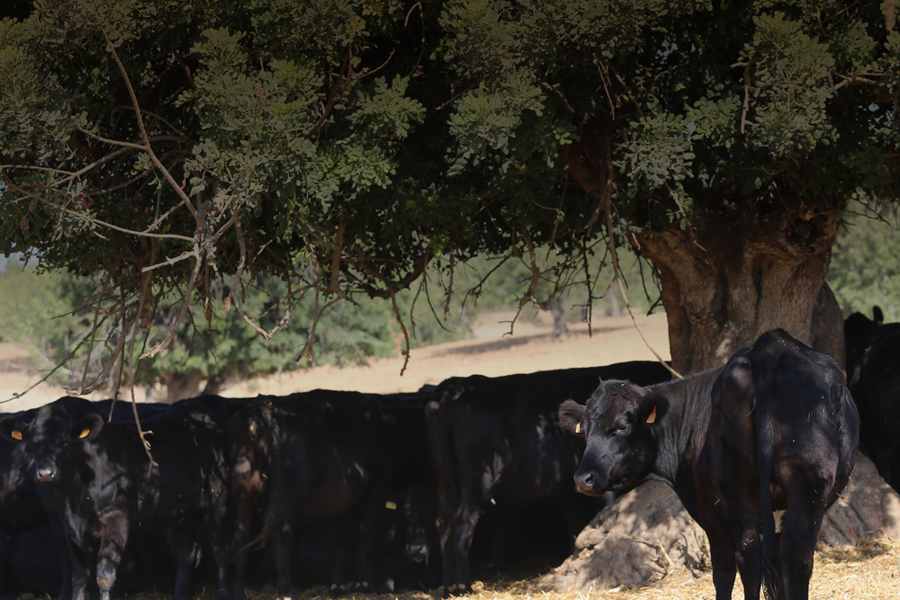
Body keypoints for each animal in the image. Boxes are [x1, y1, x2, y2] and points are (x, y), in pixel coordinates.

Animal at [2, 394, 232, 600]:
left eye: (64, 442)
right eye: (32, 443)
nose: (45, 473)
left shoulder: (116, 517)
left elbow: (105, 576)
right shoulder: (67, 524)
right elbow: (78, 576)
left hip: (217, 504)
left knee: (220, 551)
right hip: (177, 514)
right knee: (187, 554)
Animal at [225, 390, 436, 600]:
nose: (418, 551)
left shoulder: (345, 500)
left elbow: (342, 539)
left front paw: (340, 586)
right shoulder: (372, 492)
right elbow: (363, 536)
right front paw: (366, 585)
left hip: (250, 491)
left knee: (243, 534)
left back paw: (241, 590)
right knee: (280, 533)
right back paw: (285, 589)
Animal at [426, 360, 672, 592]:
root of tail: (454, 388)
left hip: (448, 484)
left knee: (444, 523)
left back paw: (450, 586)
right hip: (478, 482)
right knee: (460, 526)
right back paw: (460, 586)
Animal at [560, 330, 860, 600]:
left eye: (621, 426)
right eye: (584, 430)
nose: (582, 478)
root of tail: (770, 349)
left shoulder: (708, 511)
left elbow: (723, 572)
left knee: (751, 555)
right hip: (803, 489)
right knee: (791, 554)